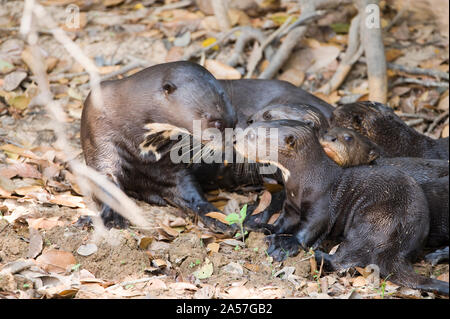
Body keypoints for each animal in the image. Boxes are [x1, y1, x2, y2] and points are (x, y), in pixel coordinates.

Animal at [80, 61, 237, 234]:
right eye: (217, 123)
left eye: (235, 120)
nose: (233, 141)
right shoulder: (100, 139)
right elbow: (105, 182)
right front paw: (111, 217)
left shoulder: (170, 168)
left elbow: (190, 192)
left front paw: (220, 219)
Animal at [236, 120, 450, 298]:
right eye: (250, 126)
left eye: (252, 136)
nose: (236, 140)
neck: (305, 183)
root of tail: (399, 246)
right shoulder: (290, 206)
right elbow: (282, 221)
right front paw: (264, 227)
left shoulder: (321, 206)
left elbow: (309, 229)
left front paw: (285, 245)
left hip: (375, 220)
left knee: (347, 257)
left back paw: (318, 256)